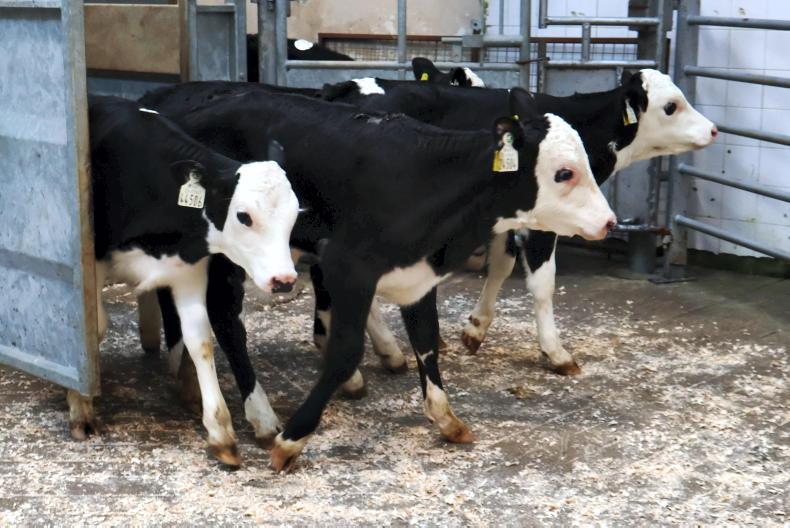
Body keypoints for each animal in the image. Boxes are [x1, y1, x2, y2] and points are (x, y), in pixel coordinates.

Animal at [80, 96, 299, 466]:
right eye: (244, 216)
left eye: (294, 214)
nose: (283, 279)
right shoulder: (92, 262)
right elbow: (93, 327)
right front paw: (82, 407)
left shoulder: (188, 267)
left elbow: (201, 341)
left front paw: (220, 432)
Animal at [141, 88, 616, 471]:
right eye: (564, 173)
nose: (610, 222)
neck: (427, 182)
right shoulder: (347, 266)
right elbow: (344, 351)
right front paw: (292, 440)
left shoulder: (419, 275)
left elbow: (427, 339)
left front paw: (446, 417)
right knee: (226, 319)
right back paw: (258, 415)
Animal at [319, 69, 717, 375]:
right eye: (671, 106)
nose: (714, 129)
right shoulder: (544, 221)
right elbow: (542, 283)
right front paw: (555, 352)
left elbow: (501, 264)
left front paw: (476, 328)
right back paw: (386, 351)